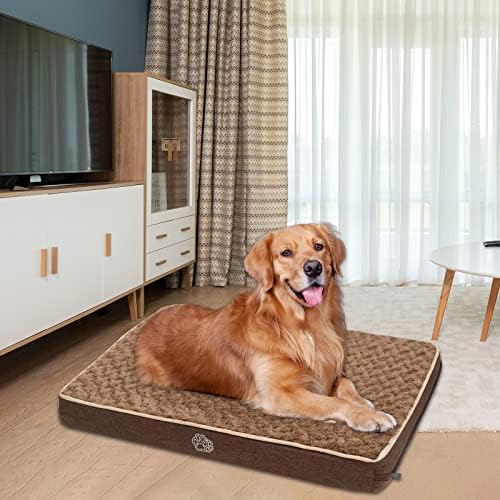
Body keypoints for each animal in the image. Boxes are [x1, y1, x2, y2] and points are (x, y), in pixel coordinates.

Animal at [135, 223, 396, 432]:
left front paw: (365, 405)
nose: (313, 267)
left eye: (318, 246)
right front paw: (369, 417)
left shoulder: (332, 370)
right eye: (286, 253)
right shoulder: (280, 393)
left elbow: (347, 386)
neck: (303, 325)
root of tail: (146, 322)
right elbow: (333, 402)